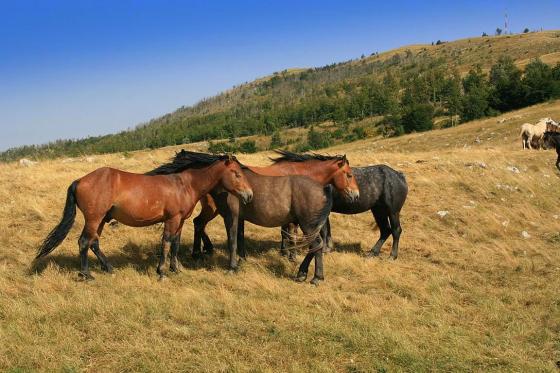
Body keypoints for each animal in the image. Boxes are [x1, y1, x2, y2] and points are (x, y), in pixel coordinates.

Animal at [36, 151, 253, 280]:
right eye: (236, 173)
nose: (249, 195)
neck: (183, 185)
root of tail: (80, 180)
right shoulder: (172, 219)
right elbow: (166, 243)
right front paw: (161, 272)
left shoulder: (180, 220)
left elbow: (175, 244)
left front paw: (176, 269)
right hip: (94, 218)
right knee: (83, 242)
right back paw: (86, 274)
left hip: (101, 220)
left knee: (93, 242)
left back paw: (109, 268)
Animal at [191, 150, 358, 258]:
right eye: (349, 175)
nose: (356, 195)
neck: (299, 173)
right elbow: (290, 233)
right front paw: (291, 254)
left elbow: (284, 232)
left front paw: (284, 251)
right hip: (212, 209)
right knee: (198, 223)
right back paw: (199, 252)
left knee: (199, 224)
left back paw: (205, 249)